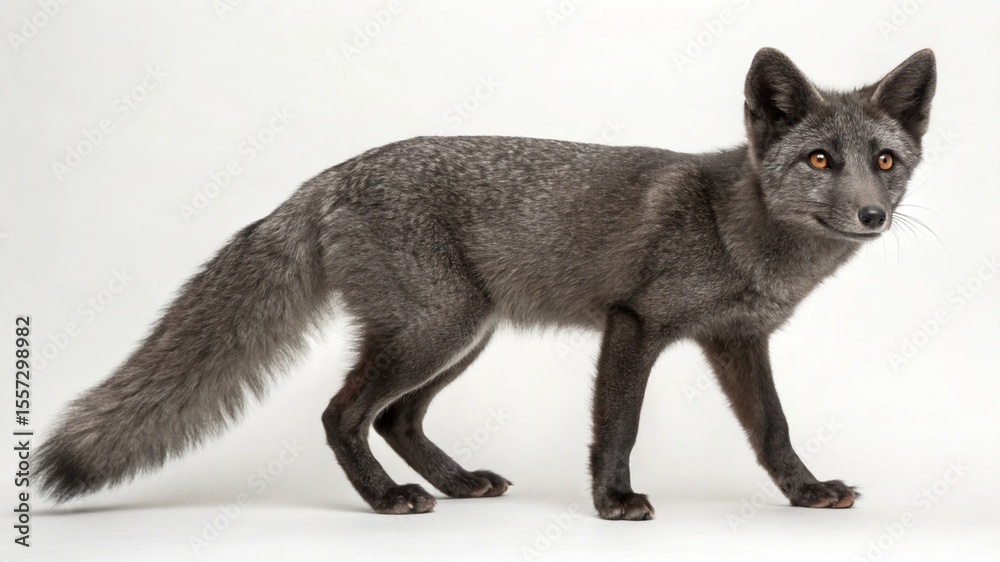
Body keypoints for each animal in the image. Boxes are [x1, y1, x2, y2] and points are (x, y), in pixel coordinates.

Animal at [36, 47, 936, 520]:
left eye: (885, 161)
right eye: (818, 160)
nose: (871, 216)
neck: (734, 230)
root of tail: (327, 178)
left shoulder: (736, 340)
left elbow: (773, 430)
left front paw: (806, 491)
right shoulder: (634, 324)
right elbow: (618, 428)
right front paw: (614, 503)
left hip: (462, 336)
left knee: (395, 418)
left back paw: (454, 483)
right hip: (436, 329)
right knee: (342, 414)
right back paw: (388, 500)